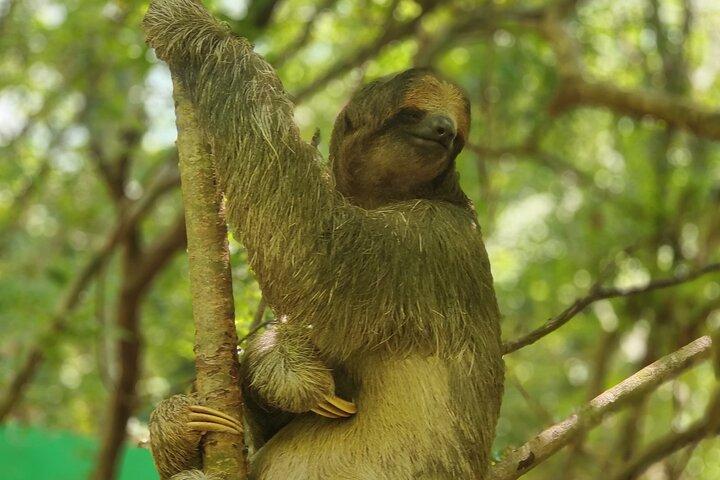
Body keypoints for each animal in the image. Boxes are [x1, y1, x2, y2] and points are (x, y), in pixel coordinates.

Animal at [143, 0, 504, 479]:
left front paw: (198, 33)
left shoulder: (428, 239)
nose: (443, 129)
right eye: (413, 113)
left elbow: (312, 251)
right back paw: (177, 425)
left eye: (458, 135)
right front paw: (278, 365)